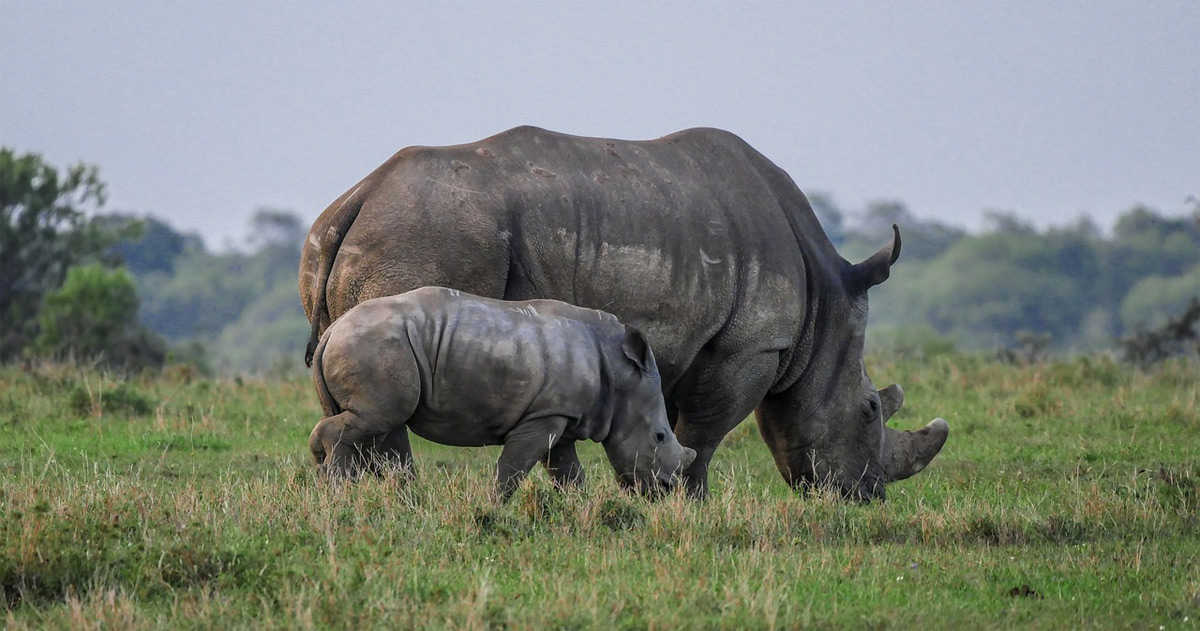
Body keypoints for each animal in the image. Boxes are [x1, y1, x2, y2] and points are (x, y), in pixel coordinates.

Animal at [308, 286, 697, 501]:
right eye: (659, 436)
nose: (665, 490)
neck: (620, 373)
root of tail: (332, 330)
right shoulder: (544, 416)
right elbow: (513, 467)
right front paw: (491, 508)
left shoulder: (560, 415)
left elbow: (569, 474)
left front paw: (586, 511)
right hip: (375, 345)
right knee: (378, 418)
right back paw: (340, 491)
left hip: (369, 344)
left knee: (375, 426)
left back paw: (340, 483)